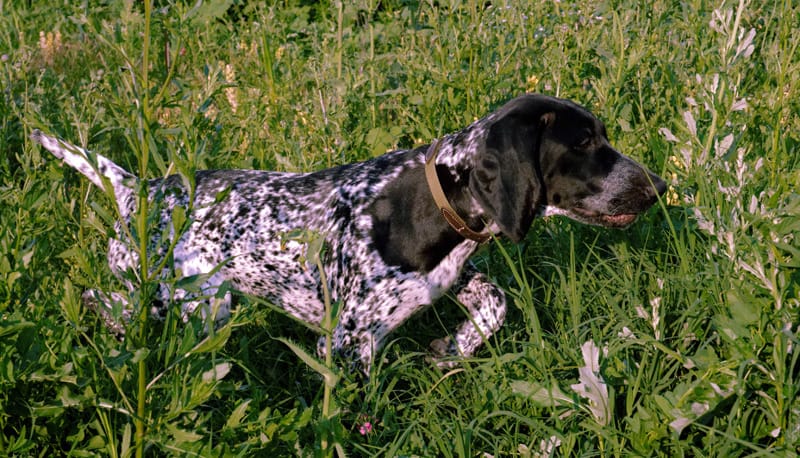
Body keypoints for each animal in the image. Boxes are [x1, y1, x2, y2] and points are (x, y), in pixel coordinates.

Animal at [31, 94, 664, 372]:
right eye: (584, 143)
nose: (658, 185)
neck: (426, 203)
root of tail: (136, 189)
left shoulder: (449, 276)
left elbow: (495, 304)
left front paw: (453, 348)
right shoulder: (346, 344)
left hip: (202, 307)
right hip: (173, 298)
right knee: (103, 298)